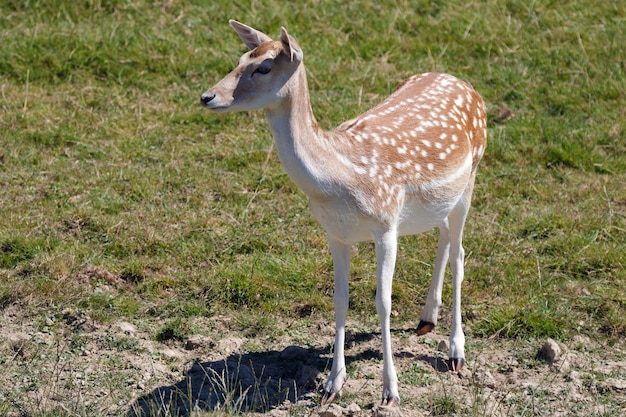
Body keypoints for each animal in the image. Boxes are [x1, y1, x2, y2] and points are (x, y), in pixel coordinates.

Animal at [201, 21, 488, 404]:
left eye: (263, 67)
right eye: (239, 59)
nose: (207, 97)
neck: (340, 180)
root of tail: (467, 86)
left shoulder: (386, 224)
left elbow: (383, 302)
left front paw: (390, 391)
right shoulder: (335, 233)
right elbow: (340, 300)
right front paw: (332, 385)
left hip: (471, 177)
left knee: (459, 253)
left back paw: (457, 352)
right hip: (442, 198)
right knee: (443, 235)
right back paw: (426, 318)